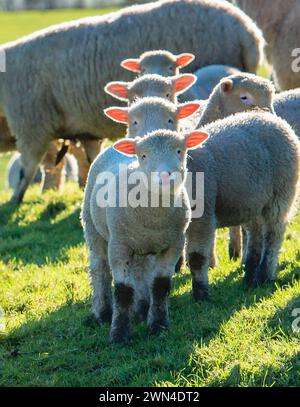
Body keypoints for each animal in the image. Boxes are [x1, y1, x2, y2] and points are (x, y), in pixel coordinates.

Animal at [0, 0, 264, 204]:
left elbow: (28, 167)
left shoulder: (31, 123)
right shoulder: (82, 131)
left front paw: (15, 201)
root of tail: (249, 32)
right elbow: (81, 162)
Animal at [82, 128, 209, 344]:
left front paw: (158, 324)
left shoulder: (174, 244)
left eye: (179, 151)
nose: (165, 176)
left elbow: (160, 285)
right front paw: (119, 334)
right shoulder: (119, 245)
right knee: (100, 269)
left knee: (141, 271)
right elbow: (123, 290)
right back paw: (103, 312)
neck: (153, 217)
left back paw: (142, 309)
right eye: (143, 155)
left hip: (142, 245)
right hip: (93, 229)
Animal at [186, 110, 298, 302]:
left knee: (273, 234)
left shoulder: (201, 217)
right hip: (253, 202)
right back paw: (250, 275)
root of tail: (275, 119)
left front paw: (201, 296)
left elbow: (196, 258)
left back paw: (264, 275)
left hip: (280, 192)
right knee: (255, 236)